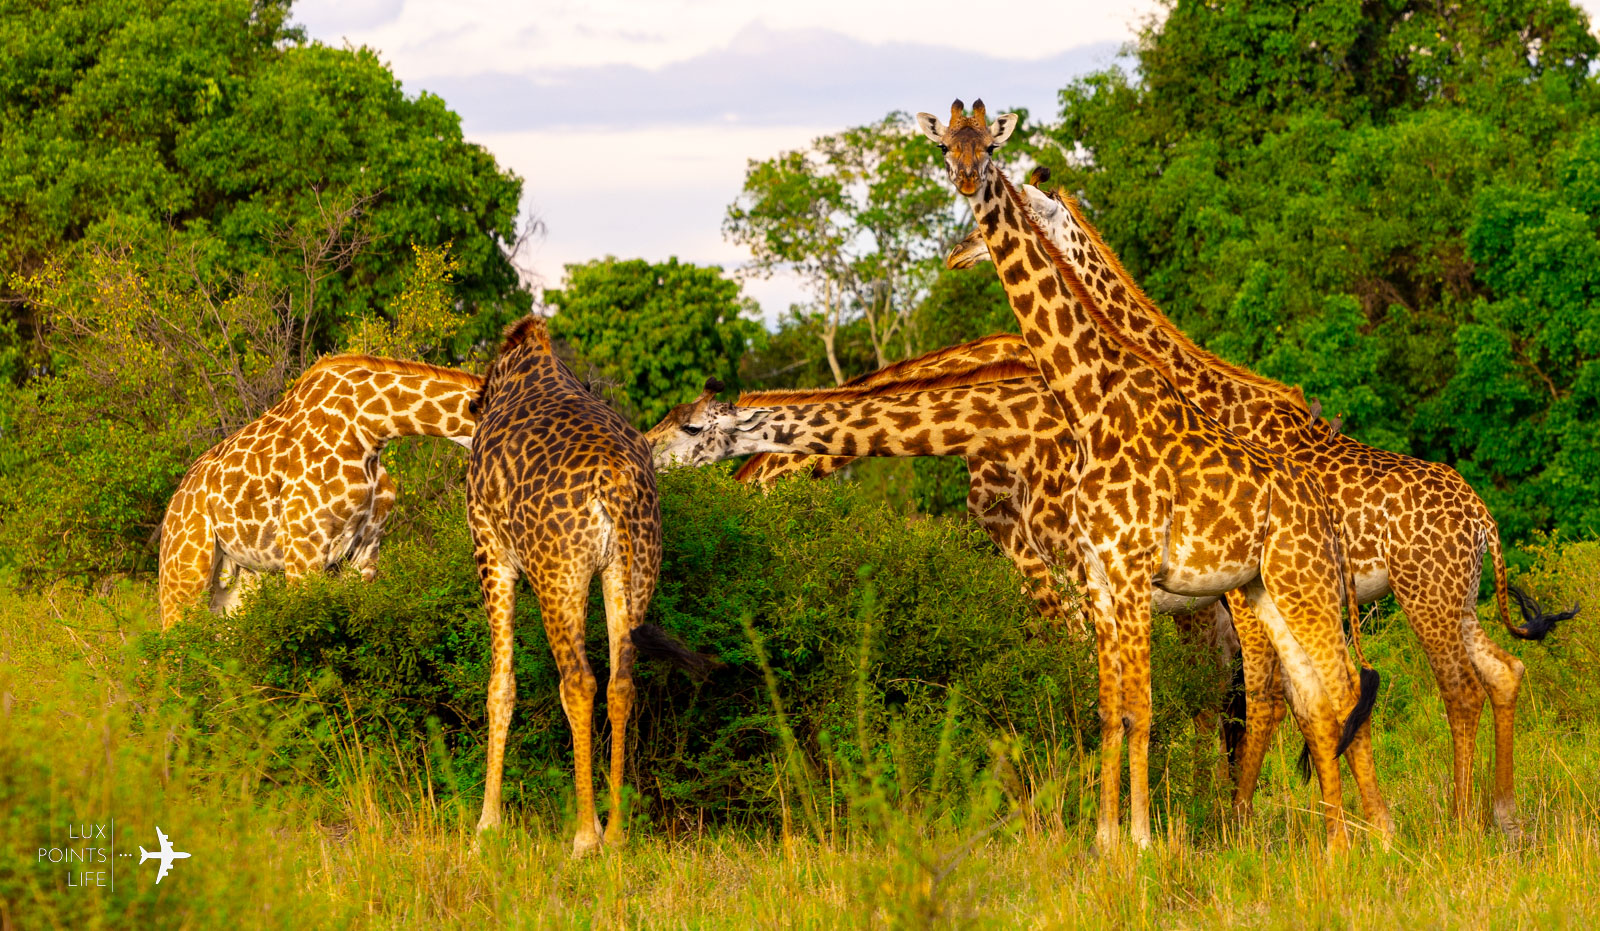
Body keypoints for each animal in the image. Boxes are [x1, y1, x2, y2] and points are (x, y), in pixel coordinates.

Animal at [155, 358, 480, 633]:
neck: (369, 428)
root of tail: (173, 502)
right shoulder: (303, 549)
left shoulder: (364, 555)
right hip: (184, 574)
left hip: (237, 583)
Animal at [464, 315, 713, 863]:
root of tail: (614, 482)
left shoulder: (491, 551)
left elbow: (500, 686)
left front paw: (486, 827)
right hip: (632, 568)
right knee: (622, 682)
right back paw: (615, 835)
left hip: (558, 572)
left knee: (578, 681)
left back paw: (584, 839)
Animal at [921, 100, 1395, 851]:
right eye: (944, 147)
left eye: (989, 150)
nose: (967, 200)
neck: (1091, 400)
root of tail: (1320, 511)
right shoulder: (1099, 575)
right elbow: (1110, 708)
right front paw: (1105, 837)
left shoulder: (1134, 570)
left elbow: (1143, 707)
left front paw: (1143, 839)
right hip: (1272, 592)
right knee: (1323, 695)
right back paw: (1335, 843)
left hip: (1306, 588)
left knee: (1344, 688)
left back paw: (1373, 835)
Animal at [940, 162, 1580, 838]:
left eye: (1020, 202)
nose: (958, 253)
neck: (1212, 398)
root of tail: (1485, 521)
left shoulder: (1241, 593)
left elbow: (1274, 699)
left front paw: (1243, 821)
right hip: (1458, 594)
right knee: (1504, 671)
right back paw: (1503, 818)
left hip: (1424, 593)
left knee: (1459, 690)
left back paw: (1460, 822)